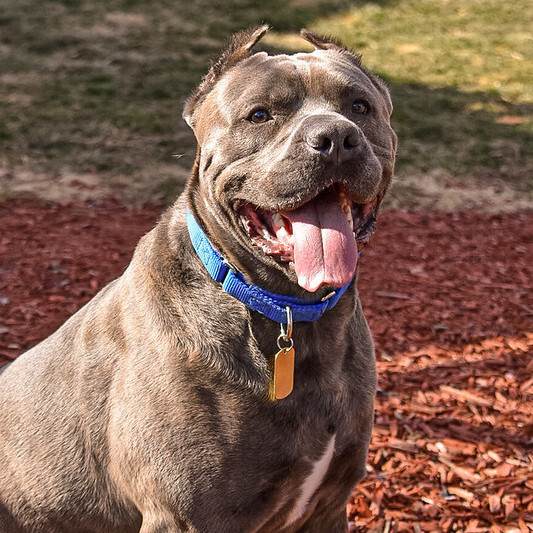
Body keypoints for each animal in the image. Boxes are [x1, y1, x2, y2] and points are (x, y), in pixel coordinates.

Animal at [0, 26, 394, 532]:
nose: (337, 136)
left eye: (359, 107)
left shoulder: (327, 506)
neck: (287, 311)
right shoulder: (185, 516)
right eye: (260, 114)